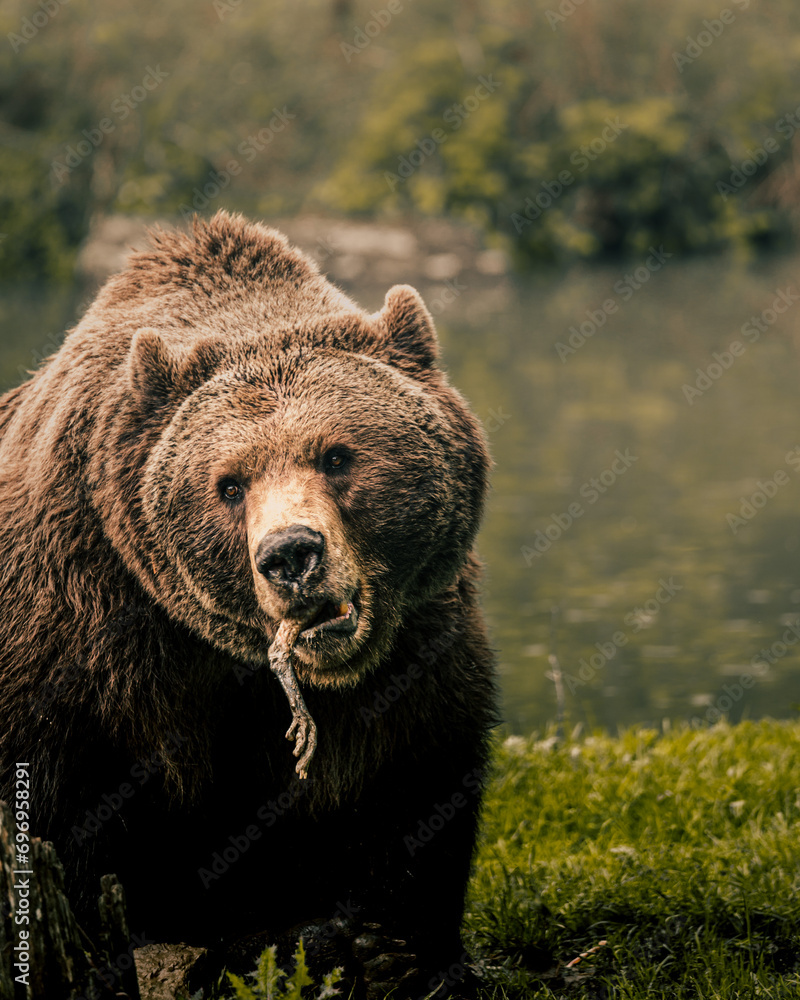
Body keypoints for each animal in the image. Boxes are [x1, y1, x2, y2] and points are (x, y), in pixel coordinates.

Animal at [0, 211, 497, 999]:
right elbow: (61, 811)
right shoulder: (87, 640)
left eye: (337, 455)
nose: (291, 554)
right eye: (229, 484)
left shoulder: (419, 642)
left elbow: (417, 779)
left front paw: (400, 950)